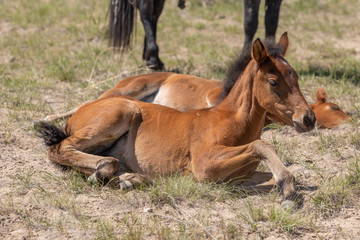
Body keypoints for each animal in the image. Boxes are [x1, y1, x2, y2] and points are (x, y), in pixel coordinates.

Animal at [37, 32, 316, 200]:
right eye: (273, 81)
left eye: (296, 76)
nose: (309, 118)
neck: (233, 120)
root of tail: (80, 112)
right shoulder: (204, 162)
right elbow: (261, 145)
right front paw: (287, 185)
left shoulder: (236, 174)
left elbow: (263, 179)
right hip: (123, 111)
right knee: (61, 149)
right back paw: (109, 172)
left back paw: (129, 178)